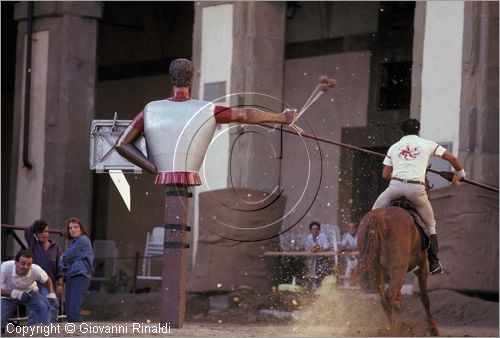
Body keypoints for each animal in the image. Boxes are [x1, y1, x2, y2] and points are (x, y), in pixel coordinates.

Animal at [350, 206, 440, 336]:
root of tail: (379, 217)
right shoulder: (422, 268)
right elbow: (425, 298)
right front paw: (433, 328)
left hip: (375, 268)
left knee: (383, 296)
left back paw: (393, 324)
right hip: (399, 268)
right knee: (389, 293)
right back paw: (395, 329)